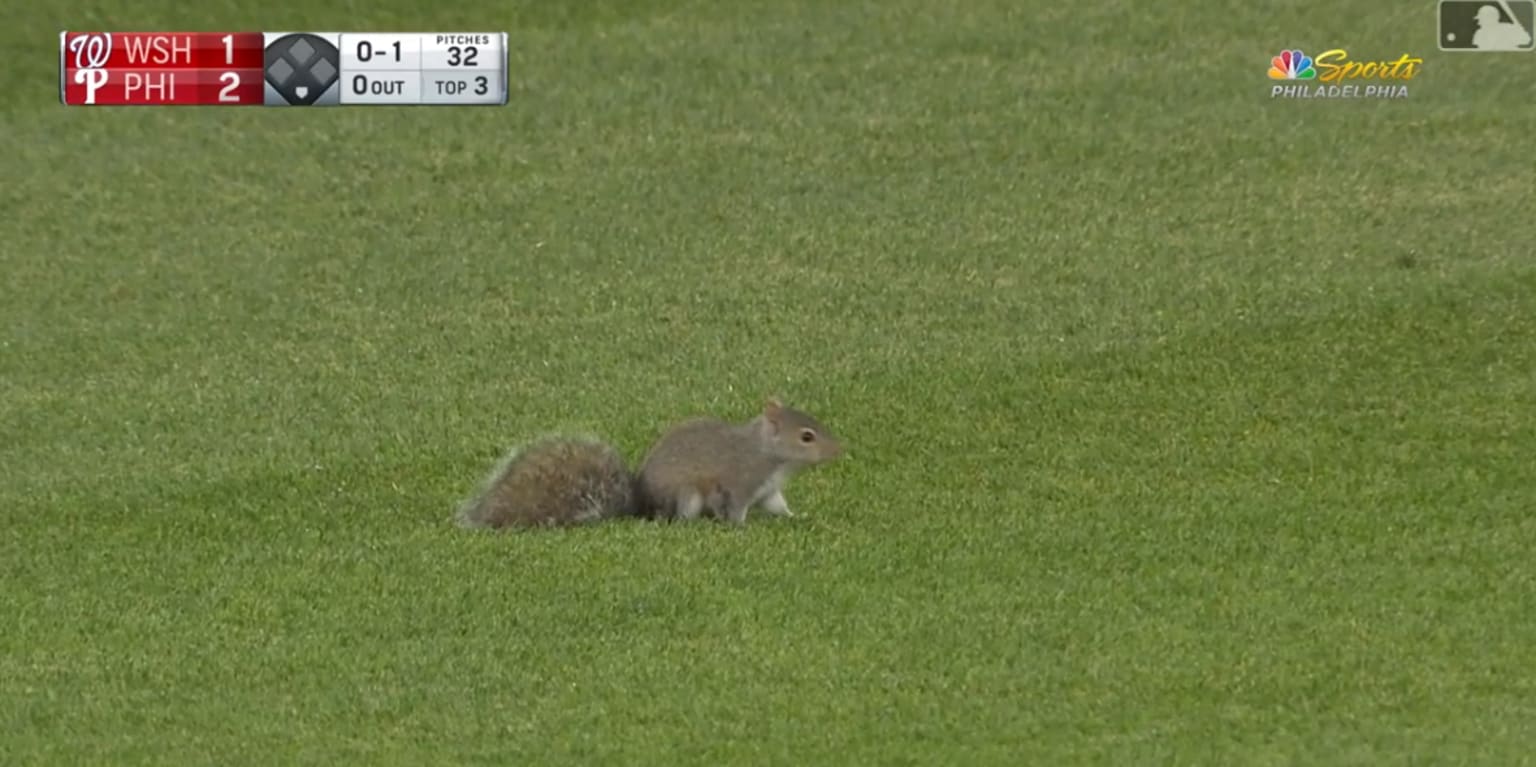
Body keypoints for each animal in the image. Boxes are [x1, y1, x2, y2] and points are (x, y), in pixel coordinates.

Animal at [448, 399, 847, 531]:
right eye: (807, 436)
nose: (838, 450)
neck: (767, 454)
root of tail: (642, 507)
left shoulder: (768, 491)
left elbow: (779, 507)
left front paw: (799, 518)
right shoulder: (739, 482)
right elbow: (735, 510)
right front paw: (741, 529)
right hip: (686, 496)